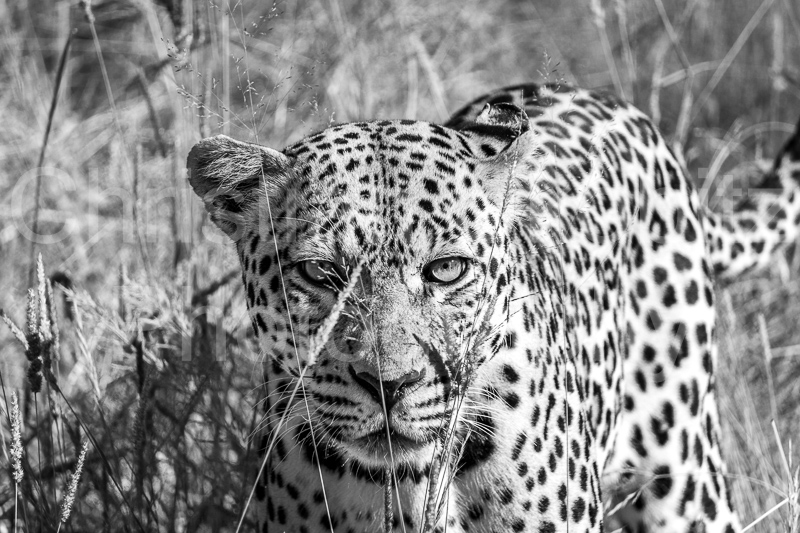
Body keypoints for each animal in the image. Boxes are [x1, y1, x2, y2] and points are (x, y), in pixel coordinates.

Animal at [186, 82, 800, 533]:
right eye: (320, 273)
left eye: (447, 270)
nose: (389, 384)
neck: (408, 485)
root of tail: (615, 103)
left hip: (686, 475)